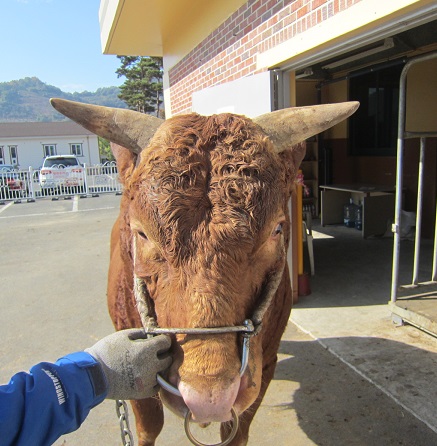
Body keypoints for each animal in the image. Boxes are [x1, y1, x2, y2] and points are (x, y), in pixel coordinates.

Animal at [49, 98, 356, 446]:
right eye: (141, 233)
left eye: (277, 229)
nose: (208, 398)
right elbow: (148, 424)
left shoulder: (266, 364)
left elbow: (237, 430)